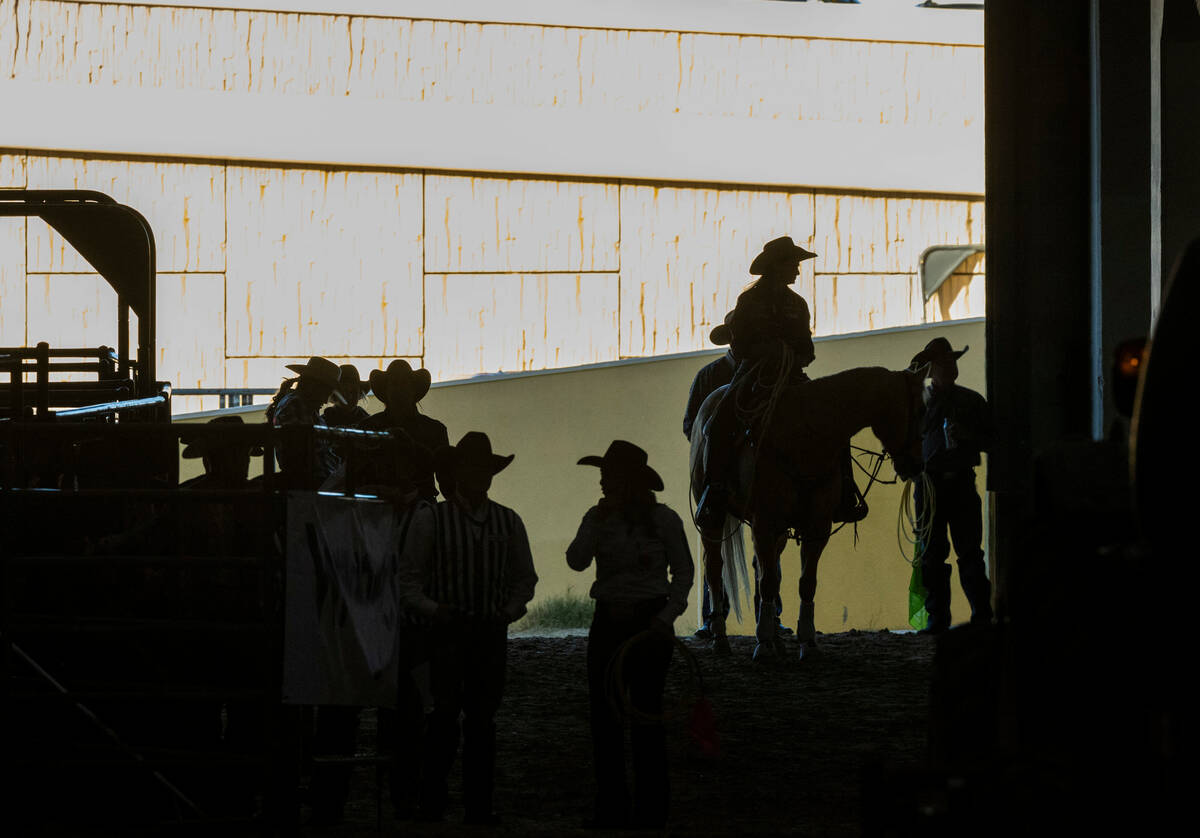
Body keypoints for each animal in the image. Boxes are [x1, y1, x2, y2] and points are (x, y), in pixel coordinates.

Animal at [691, 364, 921, 657]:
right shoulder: (764, 523)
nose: (916, 464)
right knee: (714, 570)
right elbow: (767, 581)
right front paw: (762, 643)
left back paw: (776, 639)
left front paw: (807, 641)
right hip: (714, 520)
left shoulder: (817, 526)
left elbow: (805, 583)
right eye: (920, 410)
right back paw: (720, 638)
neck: (805, 433)